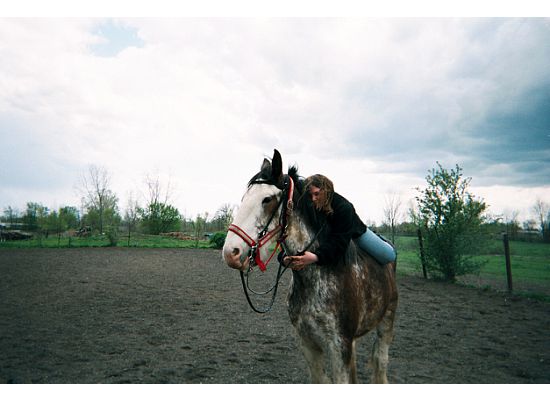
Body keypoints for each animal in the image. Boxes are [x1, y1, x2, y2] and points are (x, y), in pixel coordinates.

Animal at [222, 150, 398, 384]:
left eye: (266, 199)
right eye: (244, 198)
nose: (231, 252)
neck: (317, 277)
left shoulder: (339, 347)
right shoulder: (308, 343)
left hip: (386, 324)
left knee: (380, 362)